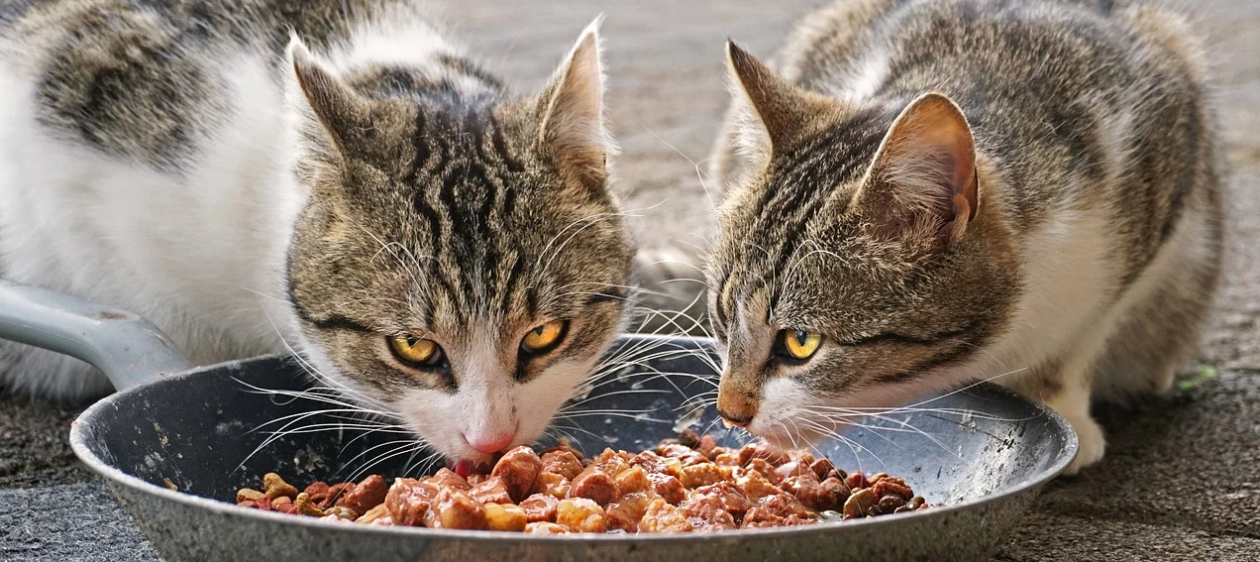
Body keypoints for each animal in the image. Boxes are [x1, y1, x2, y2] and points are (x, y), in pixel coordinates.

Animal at [710, 0, 1219, 473]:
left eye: (801, 341)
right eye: (722, 314)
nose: (729, 413)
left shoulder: (1158, 183)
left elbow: (1080, 339)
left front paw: (1063, 407)